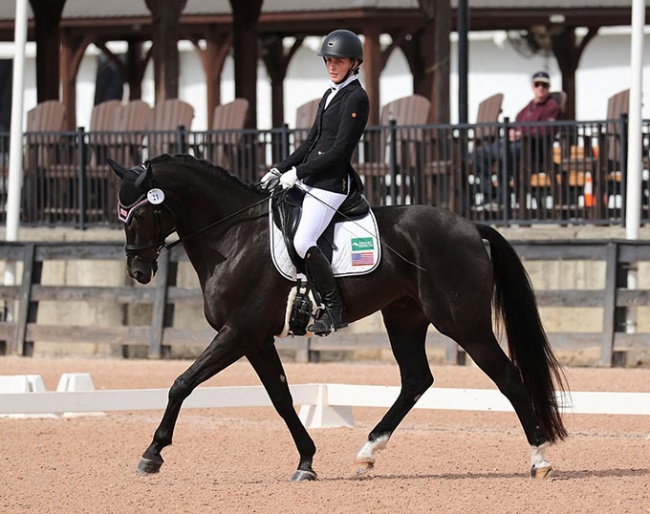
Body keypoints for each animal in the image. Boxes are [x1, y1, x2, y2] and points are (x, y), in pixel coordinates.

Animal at [106, 152, 560, 480]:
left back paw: (539, 460)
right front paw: (306, 461)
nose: (137, 271)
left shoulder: (238, 333)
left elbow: (182, 384)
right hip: (404, 318)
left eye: (139, 214)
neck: (233, 237)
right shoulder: (256, 339)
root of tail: (470, 225)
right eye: (120, 214)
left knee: (508, 377)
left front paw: (152, 454)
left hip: (464, 324)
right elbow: (281, 398)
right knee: (416, 380)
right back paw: (367, 452)